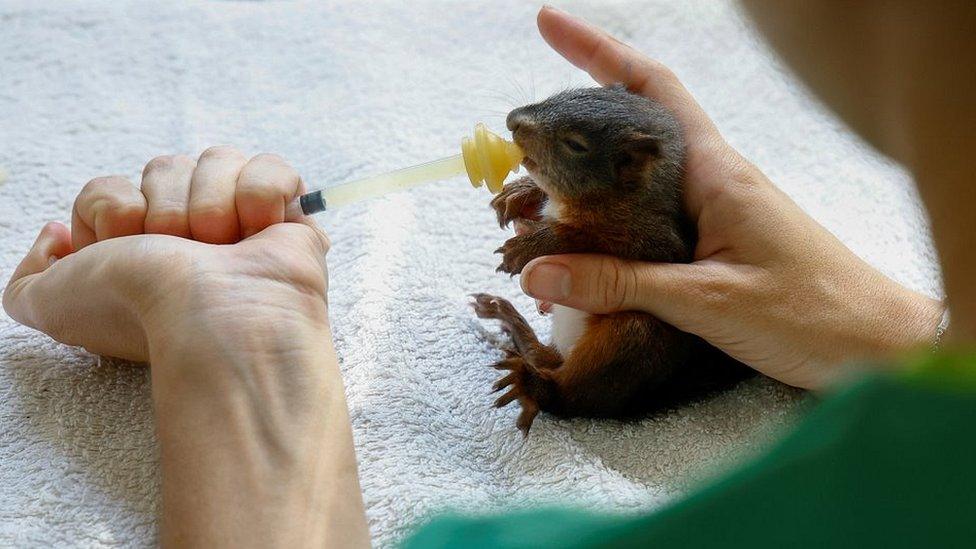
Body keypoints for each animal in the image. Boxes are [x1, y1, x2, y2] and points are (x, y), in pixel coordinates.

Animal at [472, 85, 756, 434]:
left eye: (575, 145)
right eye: (564, 93)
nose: (513, 120)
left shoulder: (659, 240)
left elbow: (589, 236)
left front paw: (530, 245)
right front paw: (521, 193)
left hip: (632, 336)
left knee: (574, 398)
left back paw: (532, 385)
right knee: (547, 360)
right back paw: (509, 319)